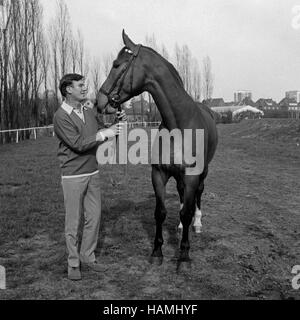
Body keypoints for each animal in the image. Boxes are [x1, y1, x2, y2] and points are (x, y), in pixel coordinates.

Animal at [96, 31, 218, 268]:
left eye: (116, 65)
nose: (99, 100)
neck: (179, 124)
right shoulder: (159, 173)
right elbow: (160, 212)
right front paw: (157, 251)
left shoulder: (191, 174)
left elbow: (187, 212)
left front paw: (184, 255)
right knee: (181, 196)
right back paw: (179, 227)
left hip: (204, 170)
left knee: (198, 194)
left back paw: (197, 224)